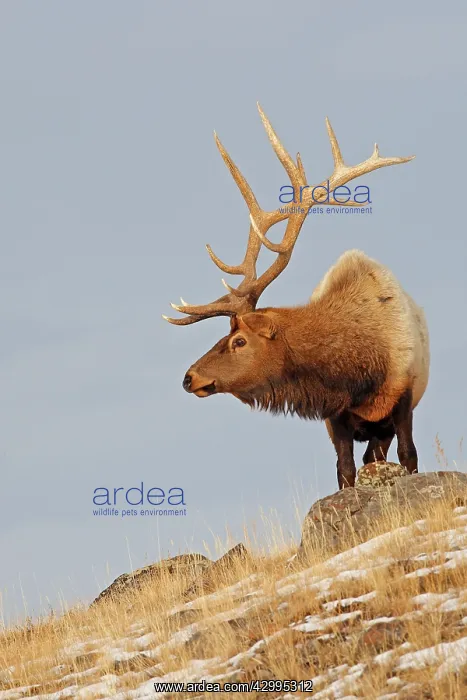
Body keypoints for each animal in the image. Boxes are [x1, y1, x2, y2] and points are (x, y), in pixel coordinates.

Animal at [163, 104, 430, 489]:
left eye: (239, 341)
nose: (189, 377)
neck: (361, 369)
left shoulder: (404, 398)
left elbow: (409, 457)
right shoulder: (335, 417)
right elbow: (345, 471)